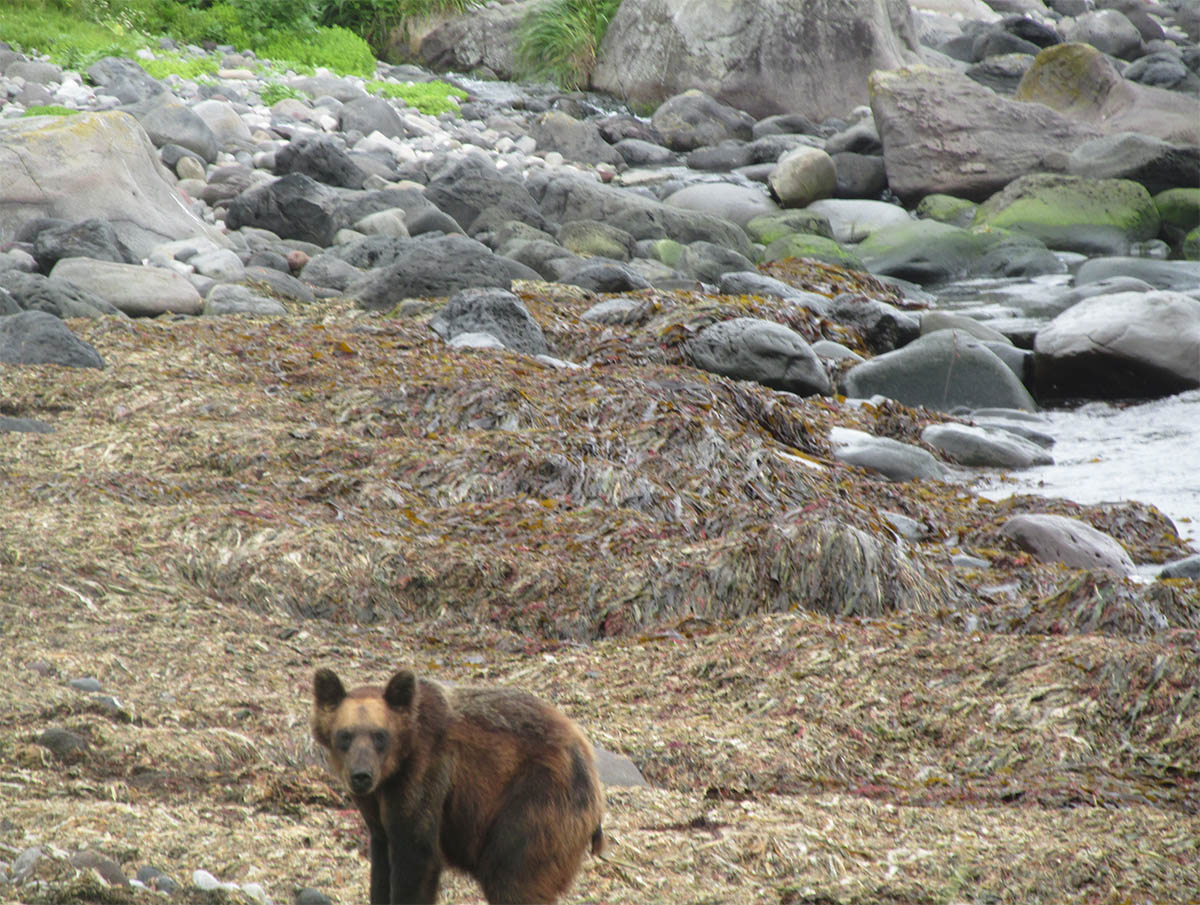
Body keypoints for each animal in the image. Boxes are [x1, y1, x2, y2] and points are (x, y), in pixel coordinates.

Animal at [312, 662, 600, 902]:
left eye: (380, 736)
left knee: (511, 874)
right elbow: (382, 864)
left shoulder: (424, 776)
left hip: (535, 803)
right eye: (345, 735)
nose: (361, 775)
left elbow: (416, 853)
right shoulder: (378, 809)